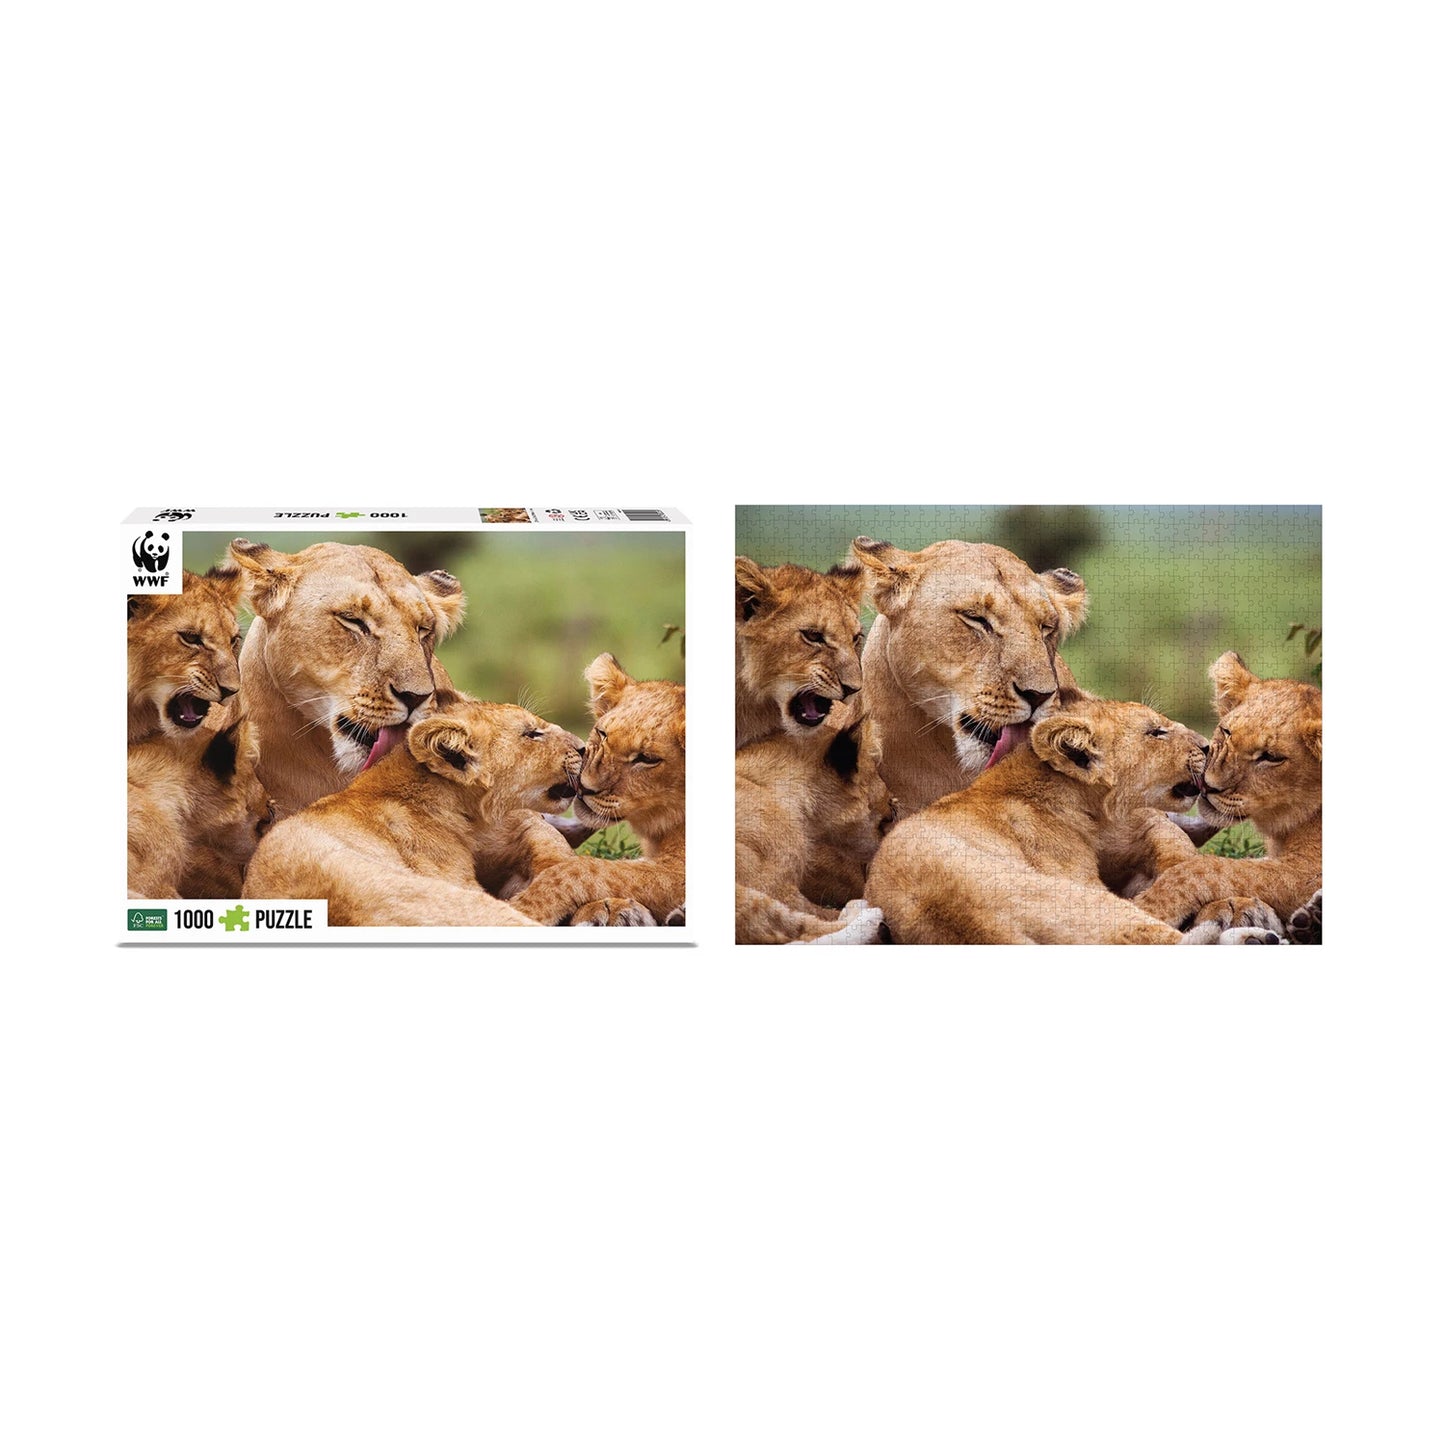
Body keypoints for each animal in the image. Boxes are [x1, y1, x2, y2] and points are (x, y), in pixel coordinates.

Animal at [511, 654, 685, 926]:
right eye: (602, 733)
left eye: (647, 759)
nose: (584, 786)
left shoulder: (680, 872)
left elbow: (586, 869)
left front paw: (524, 907)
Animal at [1132, 652, 1322, 933]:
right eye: (1227, 731)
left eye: (1271, 757)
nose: (1207, 785)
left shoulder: (1307, 872)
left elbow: (1211, 868)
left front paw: (1147, 907)